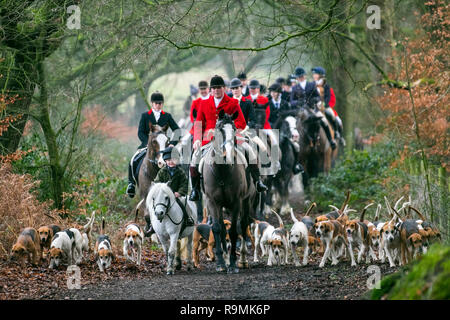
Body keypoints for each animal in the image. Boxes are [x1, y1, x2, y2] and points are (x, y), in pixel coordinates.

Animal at [201, 110, 251, 272]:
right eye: (220, 129)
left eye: (234, 129)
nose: (227, 156)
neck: (222, 171)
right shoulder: (212, 201)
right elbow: (218, 228)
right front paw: (221, 263)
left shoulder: (236, 202)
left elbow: (234, 230)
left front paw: (233, 263)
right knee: (223, 228)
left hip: (247, 200)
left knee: (243, 224)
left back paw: (242, 260)